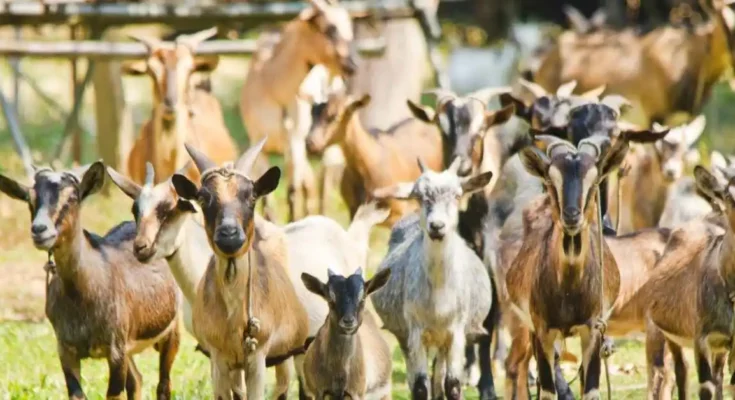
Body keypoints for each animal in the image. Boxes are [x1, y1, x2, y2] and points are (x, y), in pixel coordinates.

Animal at [0, 163, 180, 399]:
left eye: (72, 198)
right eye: (30, 199)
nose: (39, 230)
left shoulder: (115, 351)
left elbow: (114, 394)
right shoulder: (66, 350)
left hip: (171, 331)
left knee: (164, 384)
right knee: (136, 380)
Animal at [169, 140, 309, 398]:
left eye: (252, 196)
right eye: (203, 198)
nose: (229, 234)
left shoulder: (257, 357)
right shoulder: (218, 359)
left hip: (290, 352)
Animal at [301, 268, 393, 399]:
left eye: (362, 298)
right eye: (330, 300)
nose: (348, 321)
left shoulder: (357, 393)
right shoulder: (318, 391)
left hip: (384, 392)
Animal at [371, 158, 494, 399]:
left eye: (457, 195)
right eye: (418, 196)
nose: (437, 226)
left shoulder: (457, 331)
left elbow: (452, 384)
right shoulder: (415, 330)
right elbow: (420, 386)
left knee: (439, 374)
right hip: (405, 335)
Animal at [507, 134, 628, 400]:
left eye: (594, 181)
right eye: (551, 181)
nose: (571, 216)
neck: (570, 292)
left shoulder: (592, 330)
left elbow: (590, 390)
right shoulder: (542, 330)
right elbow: (547, 390)